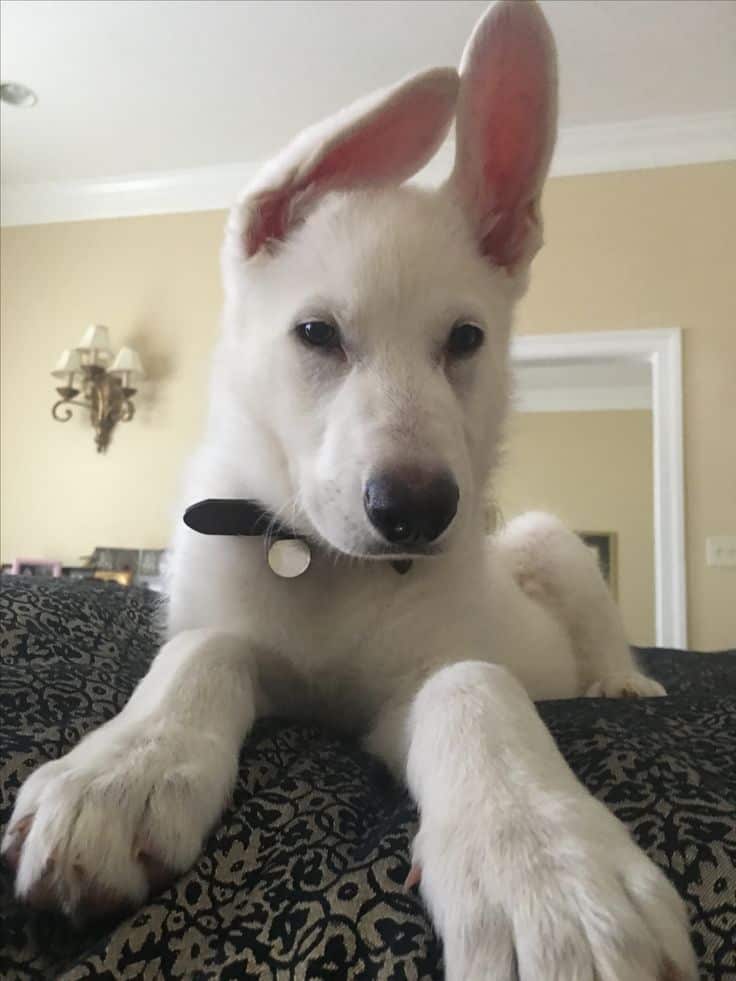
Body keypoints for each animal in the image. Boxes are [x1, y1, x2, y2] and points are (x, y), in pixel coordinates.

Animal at [4, 3, 696, 976]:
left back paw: (621, 683)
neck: (319, 561)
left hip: (546, 540)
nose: (416, 510)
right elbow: (203, 652)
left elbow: (472, 685)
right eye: (315, 333)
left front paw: (550, 867)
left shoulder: (419, 681)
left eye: (466, 338)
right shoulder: (230, 626)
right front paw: (121, 771)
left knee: (596, 632)